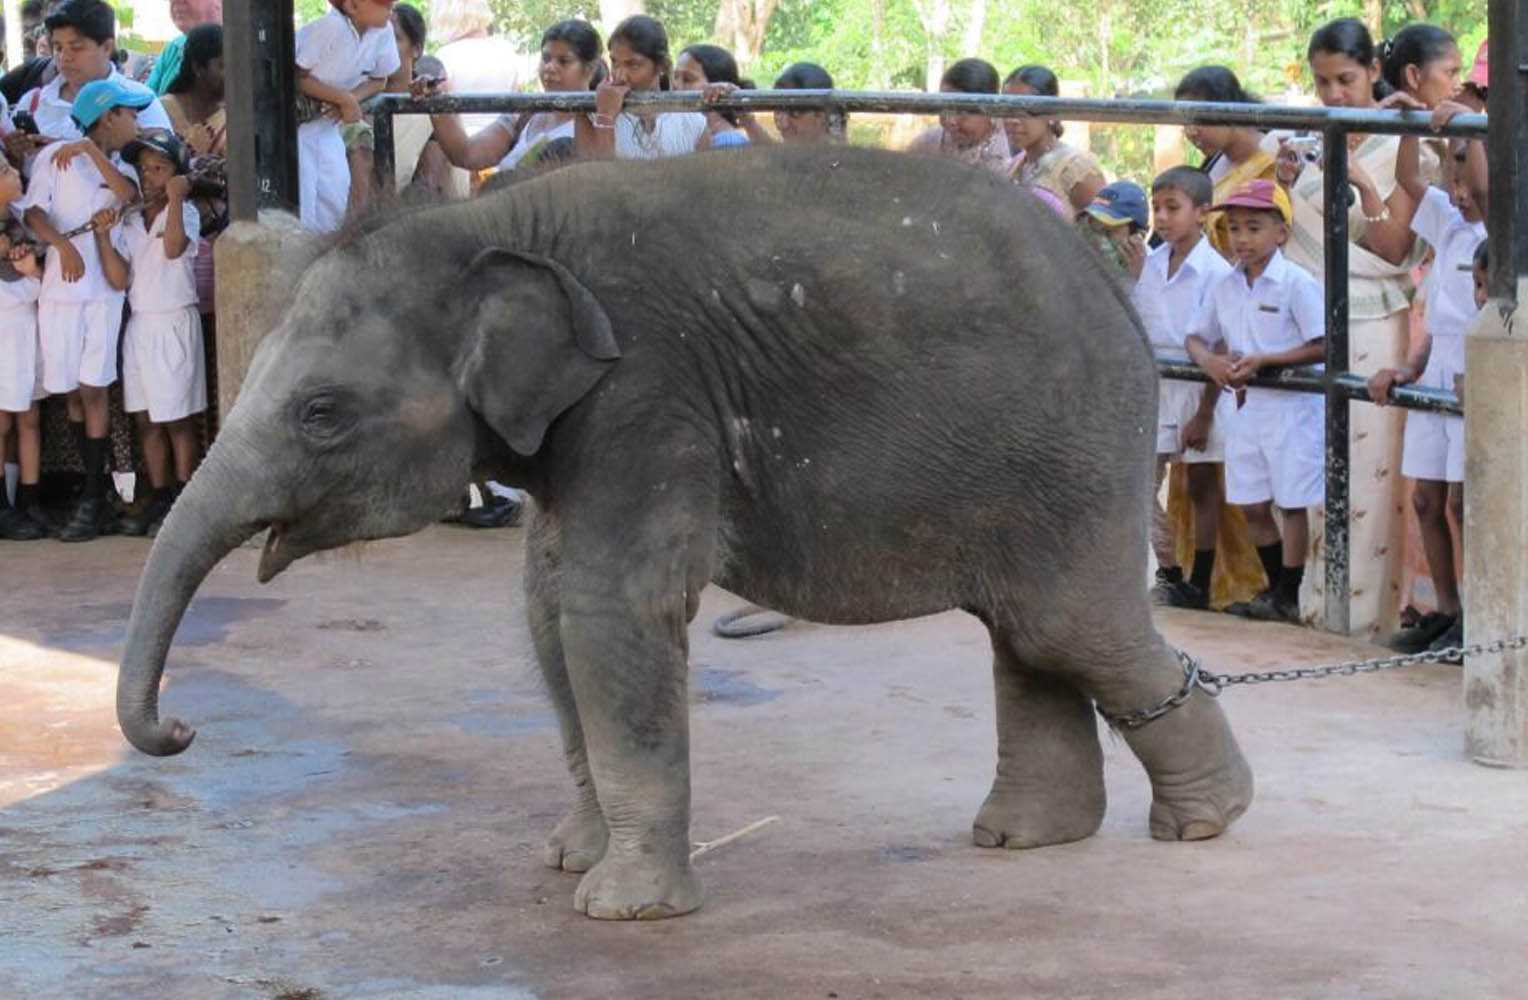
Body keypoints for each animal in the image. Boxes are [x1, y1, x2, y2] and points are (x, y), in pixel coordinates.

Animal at [116, 145, 1252, 923]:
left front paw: (621, 909)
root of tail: (1115, 280)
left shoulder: (646, 390)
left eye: (320, 414)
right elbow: (547, 609)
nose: (180, 732)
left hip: (1075, 448)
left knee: (1066, 623)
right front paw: (569, 859)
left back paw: (1207, 820)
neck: (490, 220)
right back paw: (1027, 839)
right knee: (1029, 632)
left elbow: (609, 612)